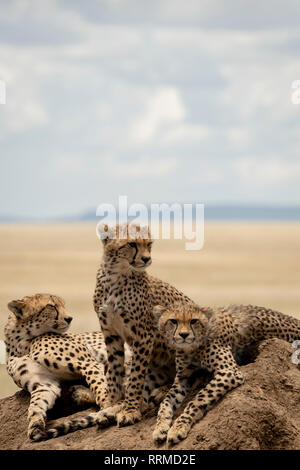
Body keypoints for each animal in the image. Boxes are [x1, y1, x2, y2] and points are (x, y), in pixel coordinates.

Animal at [4, 294, 109, 440]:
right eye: (51, 306)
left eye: (63, 305)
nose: (70, 318)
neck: (22, 343)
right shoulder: (44, 384)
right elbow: (35, 404)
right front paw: (35, 424)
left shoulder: (90, 363)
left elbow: (101, 388)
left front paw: (107, 411)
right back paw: (79, 393)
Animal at [154, 302, 300, 444]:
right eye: (173, 321)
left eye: (194, 321)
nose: (184, 335)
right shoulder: (183, 378)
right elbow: (166, 401)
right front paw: (160, 427)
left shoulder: (229, 371)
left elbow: (198, 399)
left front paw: (179, 427)